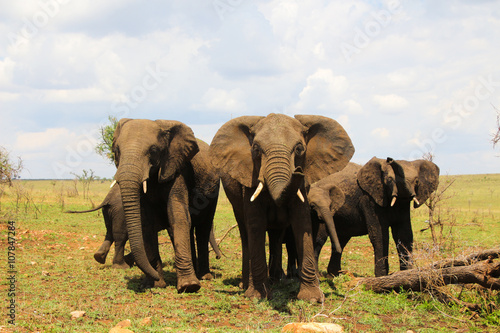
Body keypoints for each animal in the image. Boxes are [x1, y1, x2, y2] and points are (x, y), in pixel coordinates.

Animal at [108, 118, 220, 292]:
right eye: (117, 150)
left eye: (153, 150)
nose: (152, 275)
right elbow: (146, 223)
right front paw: (154, 284)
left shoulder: (176, 169)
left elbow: (178, 217)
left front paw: (189, 286)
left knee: (203, 228)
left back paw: (204, 276)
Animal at [209, 113, 354, 300]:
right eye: (256, 149)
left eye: (299, 149)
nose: (297, 171)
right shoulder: (249, 177)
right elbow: (255, 224)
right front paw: (257, 295)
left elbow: (302, 222)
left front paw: (312, 298)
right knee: (245, 231)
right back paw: (246, 285)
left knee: (276, 236)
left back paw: (276, 280)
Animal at [310, 157, 440, 276]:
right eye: (389, 180)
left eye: (417, 181)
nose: (389, 159)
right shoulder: (370, 200)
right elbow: (380, 235)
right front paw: (382, 277)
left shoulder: (403, 205)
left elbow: (404, 235)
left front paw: (406, 274)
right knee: (320, 239)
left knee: (341, 239)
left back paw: (335, 275)